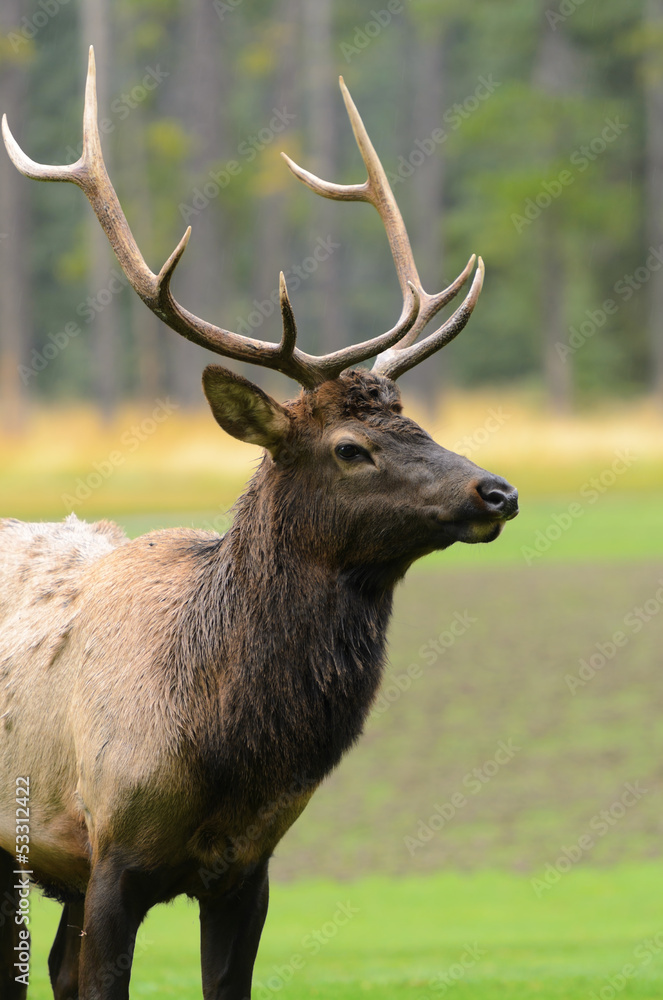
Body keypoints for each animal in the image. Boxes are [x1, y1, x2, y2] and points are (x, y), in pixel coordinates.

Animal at [0, 52, 520, 1000]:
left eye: (416, 422)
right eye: (350, 447)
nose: (495, 493)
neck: (221, 748)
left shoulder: (248, 868)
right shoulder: (110, 849)